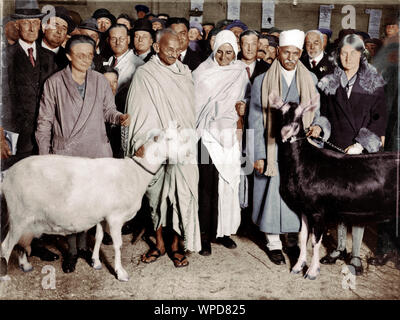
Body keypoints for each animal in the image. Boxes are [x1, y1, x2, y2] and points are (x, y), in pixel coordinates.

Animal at [0, 129, 184, 282]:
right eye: (169, 138)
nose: (186, 153)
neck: (135, 173)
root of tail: (7, 176)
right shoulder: (115, 217)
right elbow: (118, 245)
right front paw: (120, 273)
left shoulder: (102, 216)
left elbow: (99, 237)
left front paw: (95, 262)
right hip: (18, 217)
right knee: (6, 247)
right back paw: (4, 277)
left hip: (26, 220)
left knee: (20, 242)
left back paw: (25, 265)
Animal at [270, 92, 398, 280]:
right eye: (281, 111)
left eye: (300, 114)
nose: (286, 132)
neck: (304, 162)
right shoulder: (304, 209)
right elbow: (302, 237)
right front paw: (297, 266)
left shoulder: (318, 211)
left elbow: (315, 241)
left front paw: (312, 271)